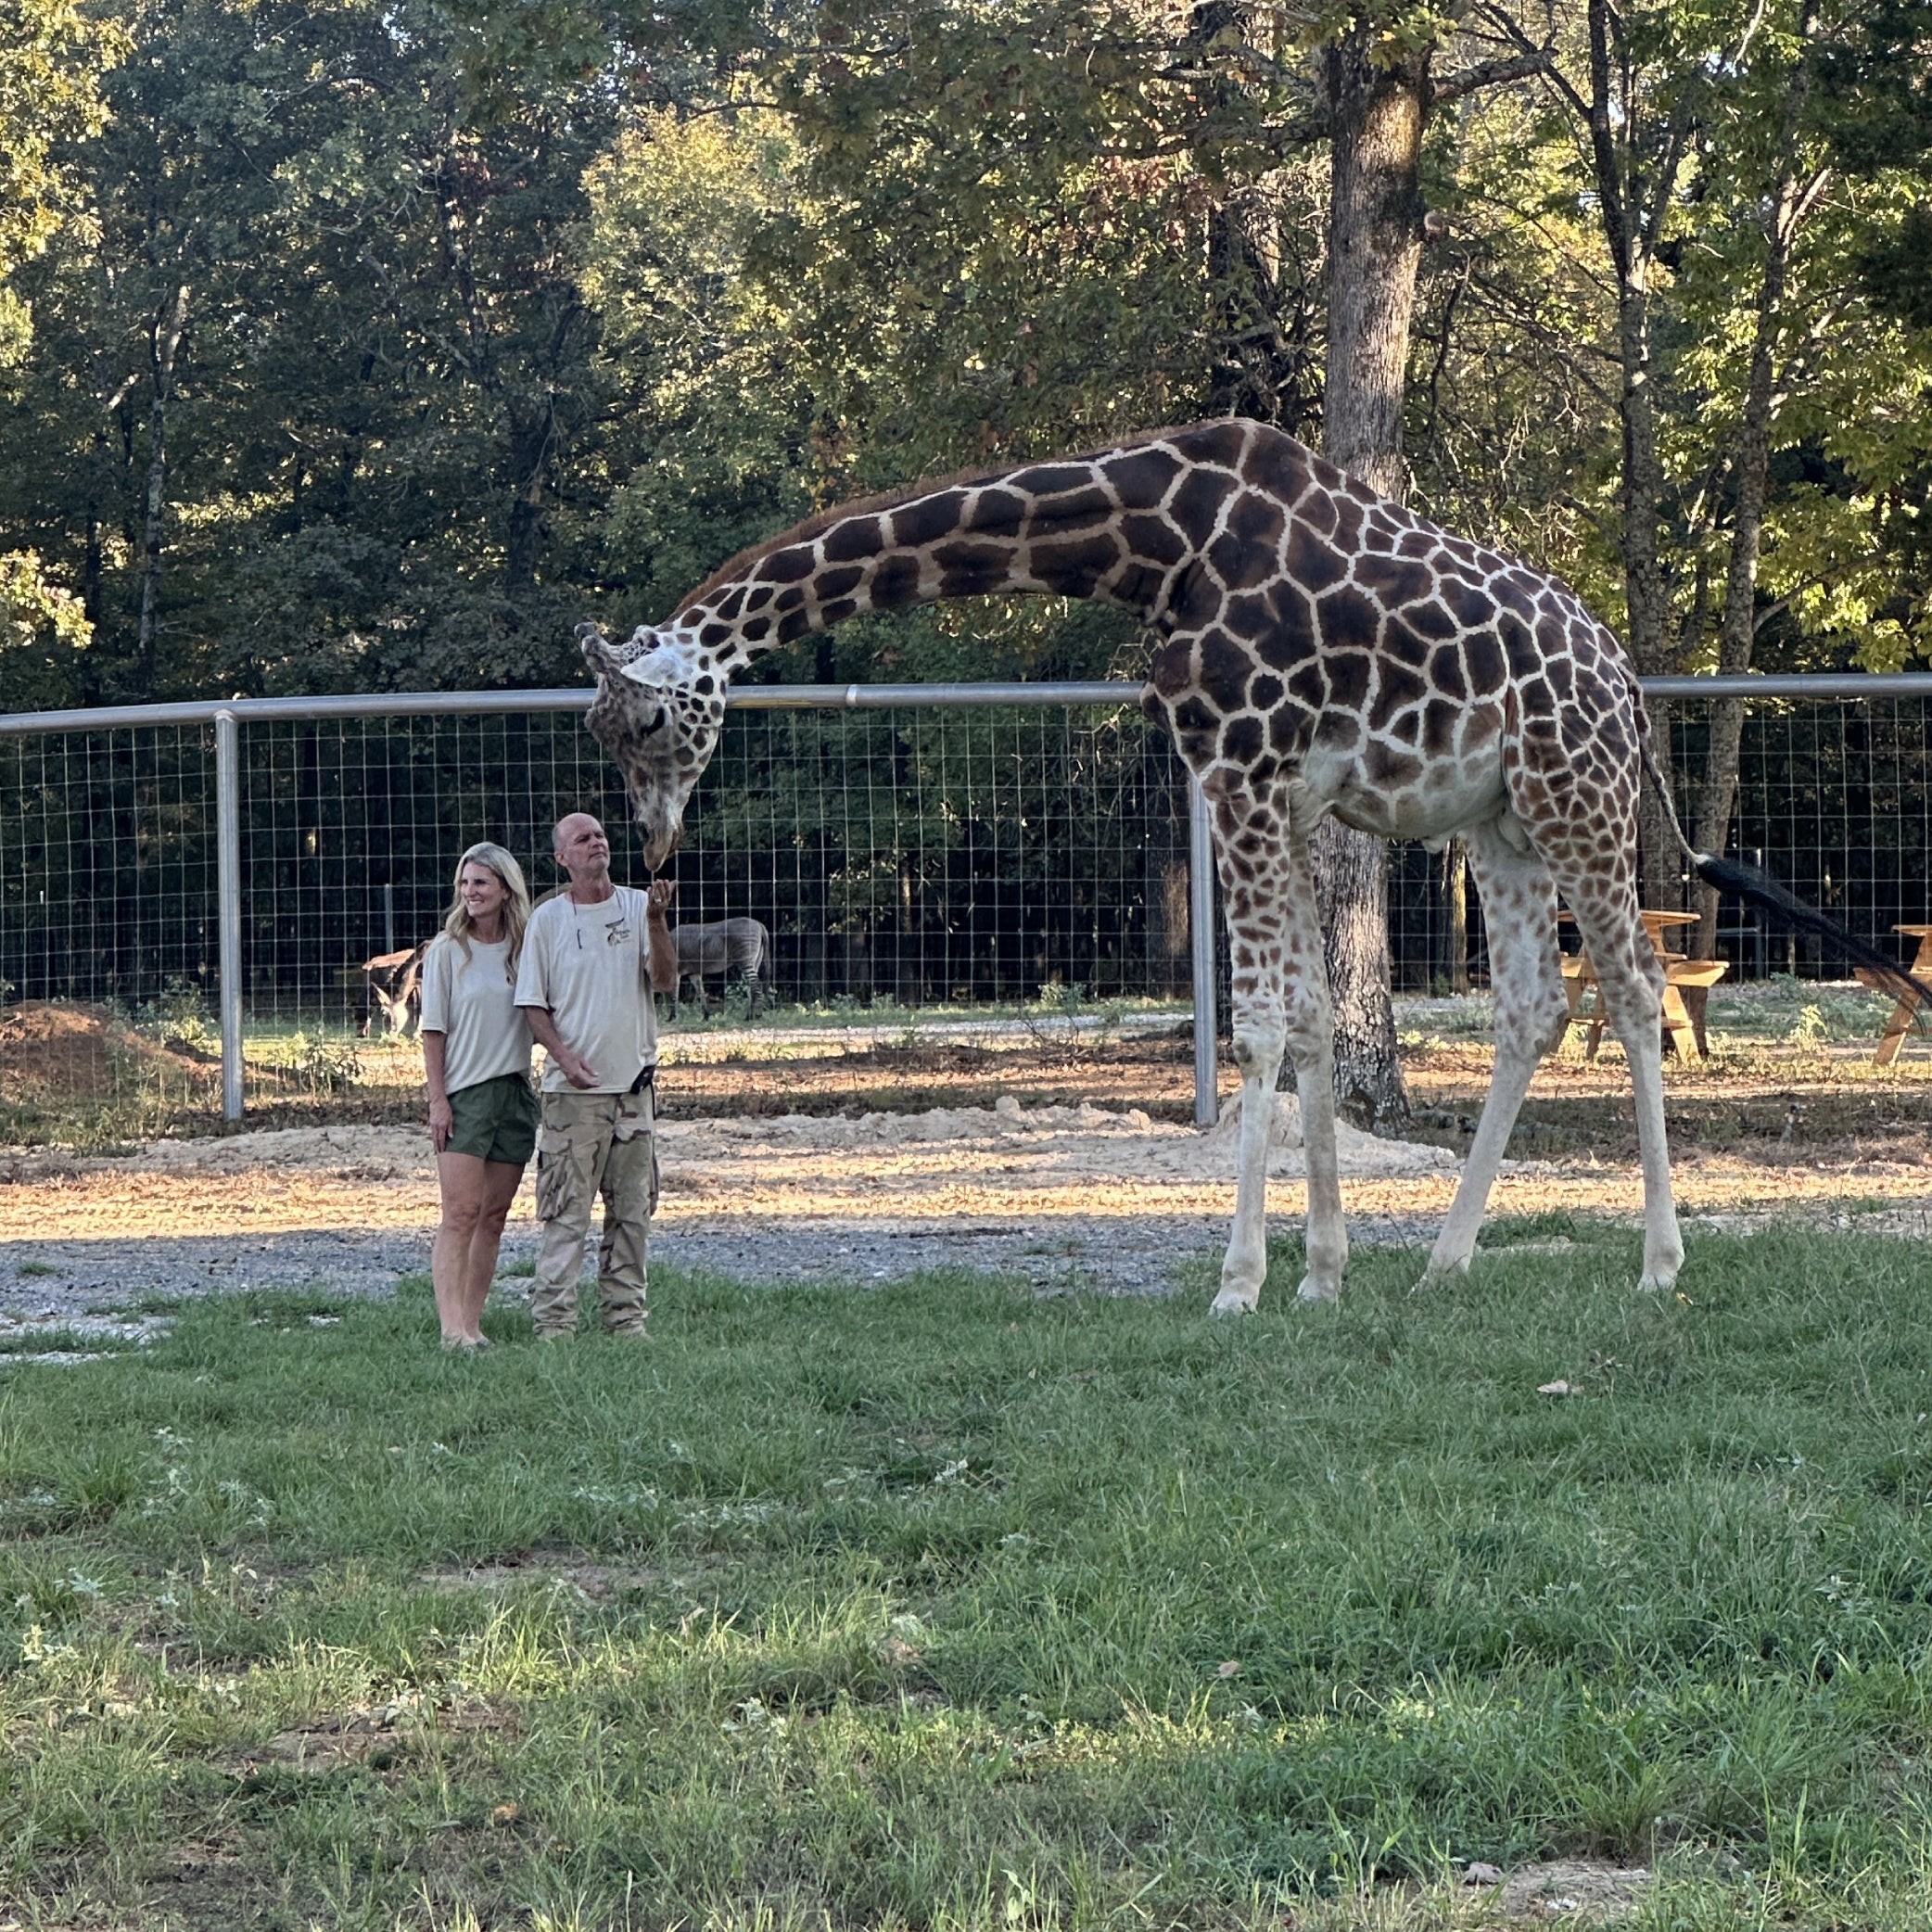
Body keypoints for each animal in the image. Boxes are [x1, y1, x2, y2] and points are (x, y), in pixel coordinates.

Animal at [574, 417, 1900, 1310]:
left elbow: (1262, 1022)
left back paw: (1657, 1263)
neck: (1148, 545)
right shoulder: (1273, 787)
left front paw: (1241, 1277)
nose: (654, 839)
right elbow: (1311, 1015)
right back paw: (1445, 1257)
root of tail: (1624, 682)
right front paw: (1322, 1269)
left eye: (636, 722)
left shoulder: (1241, 767)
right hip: (1500, 822)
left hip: (1578, 797)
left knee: (1628, 989)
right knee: (1530, 1004)